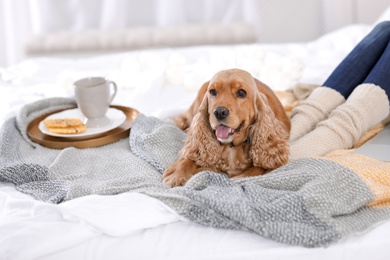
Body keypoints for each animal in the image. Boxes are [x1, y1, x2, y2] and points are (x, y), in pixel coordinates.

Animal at [161, 68, 290, 187]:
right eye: (213, 92)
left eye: (241, 93)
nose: (219, 112)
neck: (232, 146)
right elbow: (188, 158)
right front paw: (177, 175)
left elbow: (255, 170)